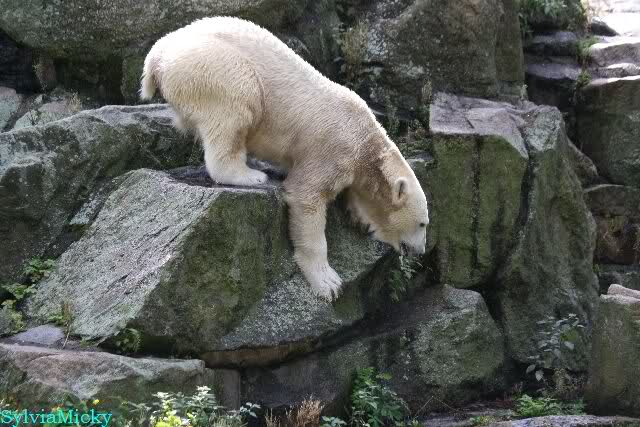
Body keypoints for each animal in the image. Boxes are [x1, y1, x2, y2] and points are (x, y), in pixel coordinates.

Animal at [140, 16, 429, 300]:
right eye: (423, 223)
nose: (421, 252)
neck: (366, 142)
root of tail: (156, 55)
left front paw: (361, 218)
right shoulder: (331, 150)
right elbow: (307, 198)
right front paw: (329, 283)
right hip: (212, 67)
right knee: (238, 105)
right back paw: (249, 175)